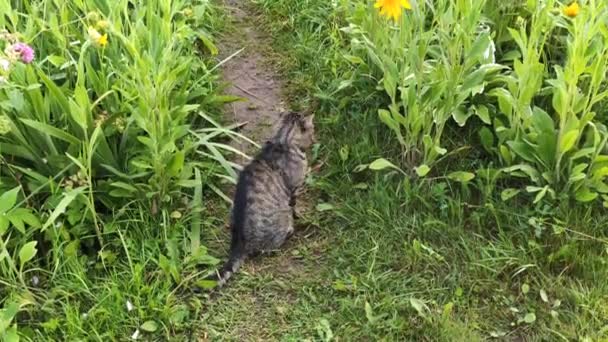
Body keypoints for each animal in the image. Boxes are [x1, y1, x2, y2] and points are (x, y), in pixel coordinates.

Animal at [208, 111, 314, 286]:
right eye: (313, 131)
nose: (315, 140)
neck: (283, 142)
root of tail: (240, 241)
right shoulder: (294, 188)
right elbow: (294, 205)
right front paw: (299, 215)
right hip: (280, 220)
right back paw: (290, 232)